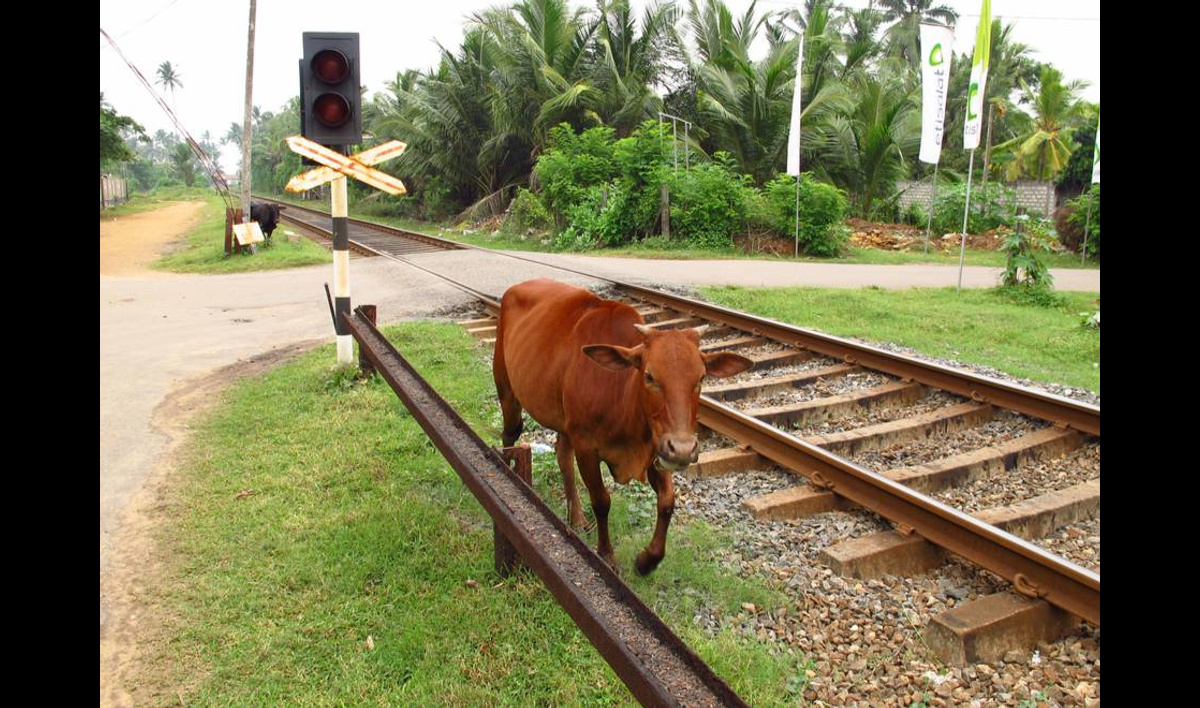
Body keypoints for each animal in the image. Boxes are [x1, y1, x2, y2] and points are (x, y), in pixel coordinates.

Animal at [489, 278, 748, 576]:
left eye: (701, 378)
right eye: (649, 376)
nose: (684, 448)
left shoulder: (657, 447)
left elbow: (667, 501)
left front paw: (647, 561)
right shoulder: (587, 447)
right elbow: (602, 500)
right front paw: (607, 555)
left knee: (562, 455)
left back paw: (576, 517)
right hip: (507, 390)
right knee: (511, 434)